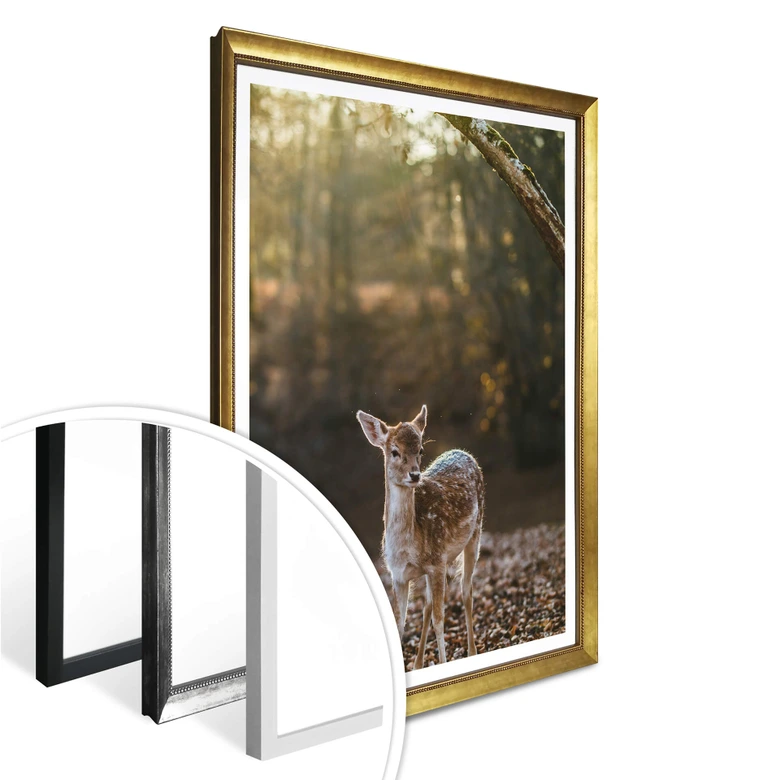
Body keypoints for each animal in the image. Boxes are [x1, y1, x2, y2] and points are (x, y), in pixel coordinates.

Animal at [357, 404, 484, 668]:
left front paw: (443, 663)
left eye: (421, 449)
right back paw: (417, 663)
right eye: (394, 451)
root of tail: (464, 452)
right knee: (426, 606)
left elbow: (440, 619)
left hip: (475, 534)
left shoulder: (438, 562)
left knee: (466, 591)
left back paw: (472, 651)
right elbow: (400, 624)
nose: (415, 475)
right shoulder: (397, 575)